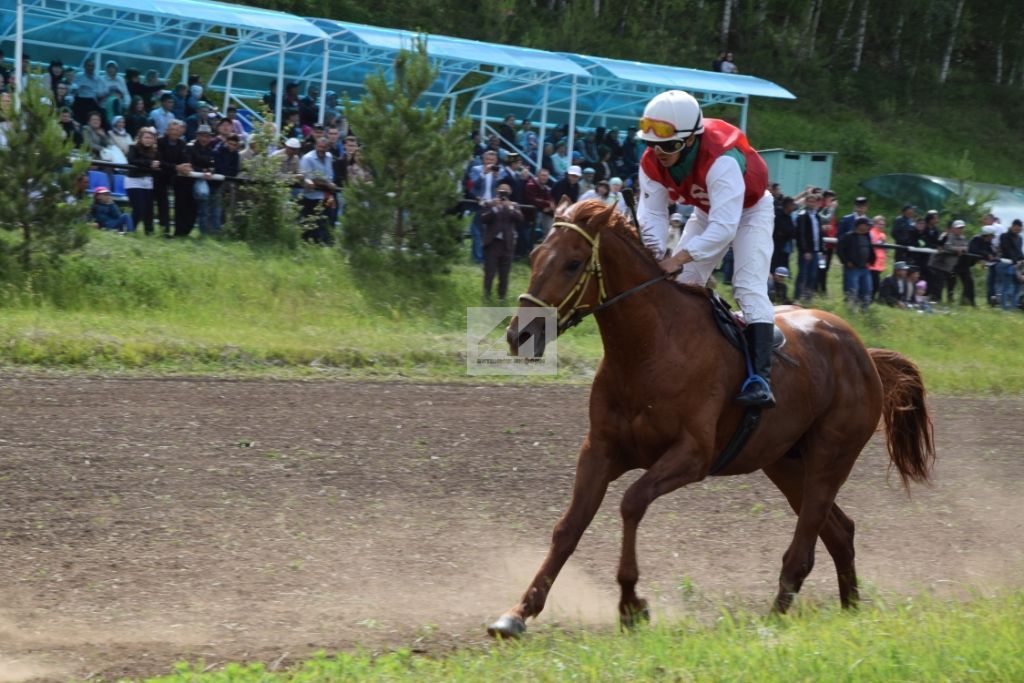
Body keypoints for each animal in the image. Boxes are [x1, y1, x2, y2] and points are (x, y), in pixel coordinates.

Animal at [487, 200, 937, 638]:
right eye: (535, 254)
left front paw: (631, 604)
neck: (649, 349)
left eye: (573, 263)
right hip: (785, 463)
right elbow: (568, 527)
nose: (519, 335)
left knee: (804, 548)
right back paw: (851, 612)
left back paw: (773, 621)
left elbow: (631, 503)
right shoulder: (600, 448)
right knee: (841, 532)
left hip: (832, 456)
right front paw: (518, 613)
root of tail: (863, 351)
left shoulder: (692, 455)